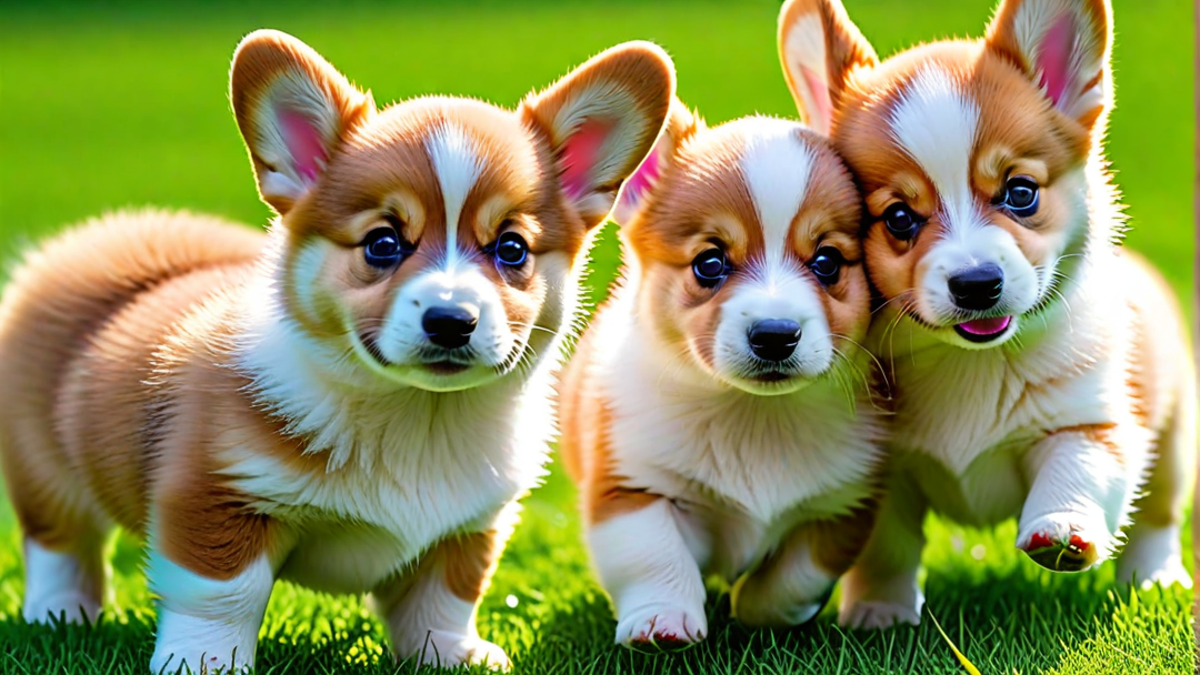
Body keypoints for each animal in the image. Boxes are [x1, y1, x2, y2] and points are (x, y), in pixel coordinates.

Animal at [0, 28, 676, 667]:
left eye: (511, 249)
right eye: (382, 243)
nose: (451, 320)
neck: (419, 415)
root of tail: (109, 236)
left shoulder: (470, 525)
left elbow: (445, 597)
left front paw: (452, 655)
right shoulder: (213, 497)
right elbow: (222, 595)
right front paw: (204, 662)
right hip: (41, 468)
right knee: (59, 543)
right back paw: (62, 614)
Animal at [559, 100, 883, 648]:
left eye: (827, 261)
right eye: (709, 263)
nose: (775, 334)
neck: (751, 413)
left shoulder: (841, 506)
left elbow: (792, 580)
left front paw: (753, 607)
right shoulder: (631, 485)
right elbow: (653, 555)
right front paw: (662, 620)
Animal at [777, 0, 1190, 629]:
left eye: (1020, 192)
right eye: (898, 218)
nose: (976, 285)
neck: (970, 362)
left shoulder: (1093, 420)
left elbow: (1078, 468)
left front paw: (1062, 530)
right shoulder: (883, 475)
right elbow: (888, 547)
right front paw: (880, 610)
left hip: (1174, 442)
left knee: (1158, 517)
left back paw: (1157, 578)